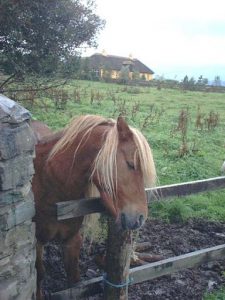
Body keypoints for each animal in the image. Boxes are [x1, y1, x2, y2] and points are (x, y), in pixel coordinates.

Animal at [30, 114, 156, 298]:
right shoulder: (37, 242)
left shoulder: (72, 240)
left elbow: (74, 282)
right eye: (131, 164)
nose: (140, 218)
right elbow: (39, 276)